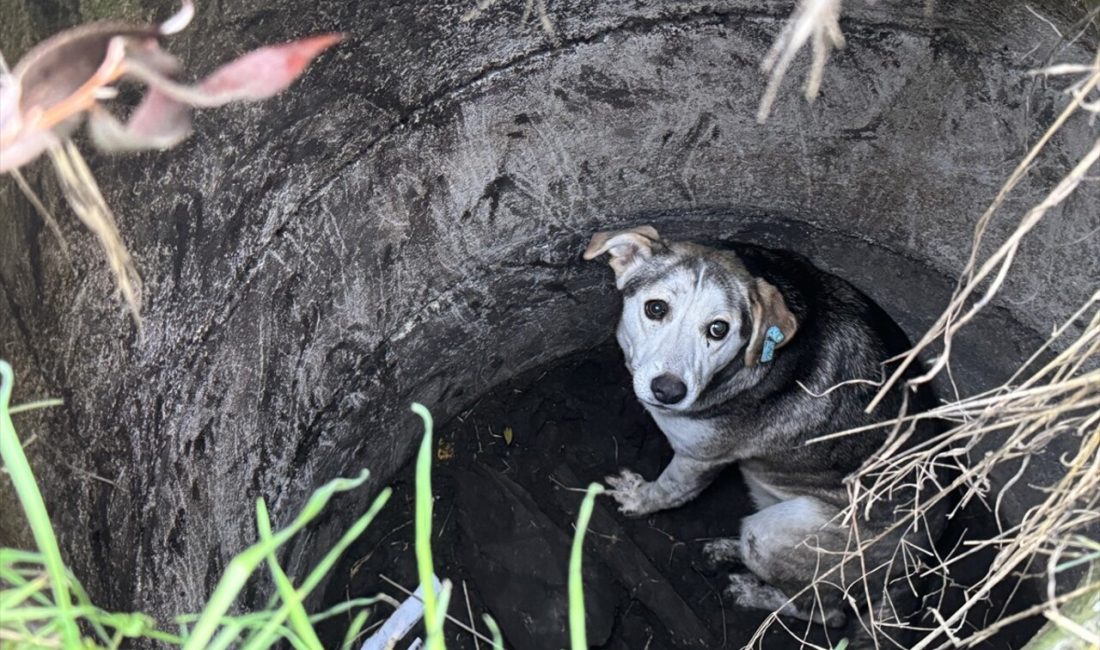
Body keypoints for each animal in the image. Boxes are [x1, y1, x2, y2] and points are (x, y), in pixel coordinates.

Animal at [585, 226, 946, 642]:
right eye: (656, 309)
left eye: (718, 329)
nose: (668, 391)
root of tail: (920, 563)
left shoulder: (697, 458)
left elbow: (668, 490)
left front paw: (637, 499)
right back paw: (729, 549)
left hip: (776, 533)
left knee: (826, 613)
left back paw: (751, 591)